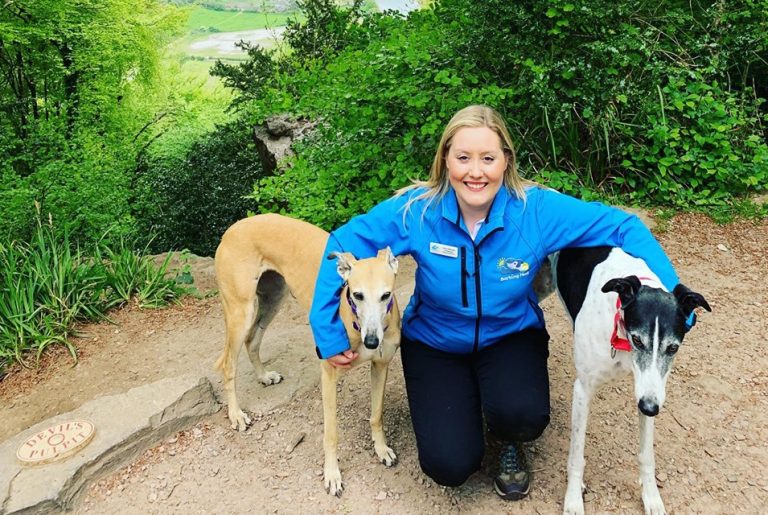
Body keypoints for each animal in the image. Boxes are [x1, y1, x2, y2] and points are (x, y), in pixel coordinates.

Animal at [212, 213, 400, 496]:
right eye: (357, 294)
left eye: (386, 295)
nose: (371, 341)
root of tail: (232, 229)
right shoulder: (329, 375)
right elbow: (331, 433)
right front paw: (332, 475)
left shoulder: (380, 365)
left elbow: (376, 415)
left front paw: (381, 449)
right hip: (240, 311)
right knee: (228, 364)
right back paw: (236, 415)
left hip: (273, 297)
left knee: (252, 340)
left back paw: (264, 376)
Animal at [552, 248, 708, 512]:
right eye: (637, 339)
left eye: (673, 348)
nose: (650, 408)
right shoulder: (583, 389)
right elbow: (577, 455)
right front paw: (573, 499)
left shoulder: (648, 389)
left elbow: (646, 455)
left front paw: (651, 497)